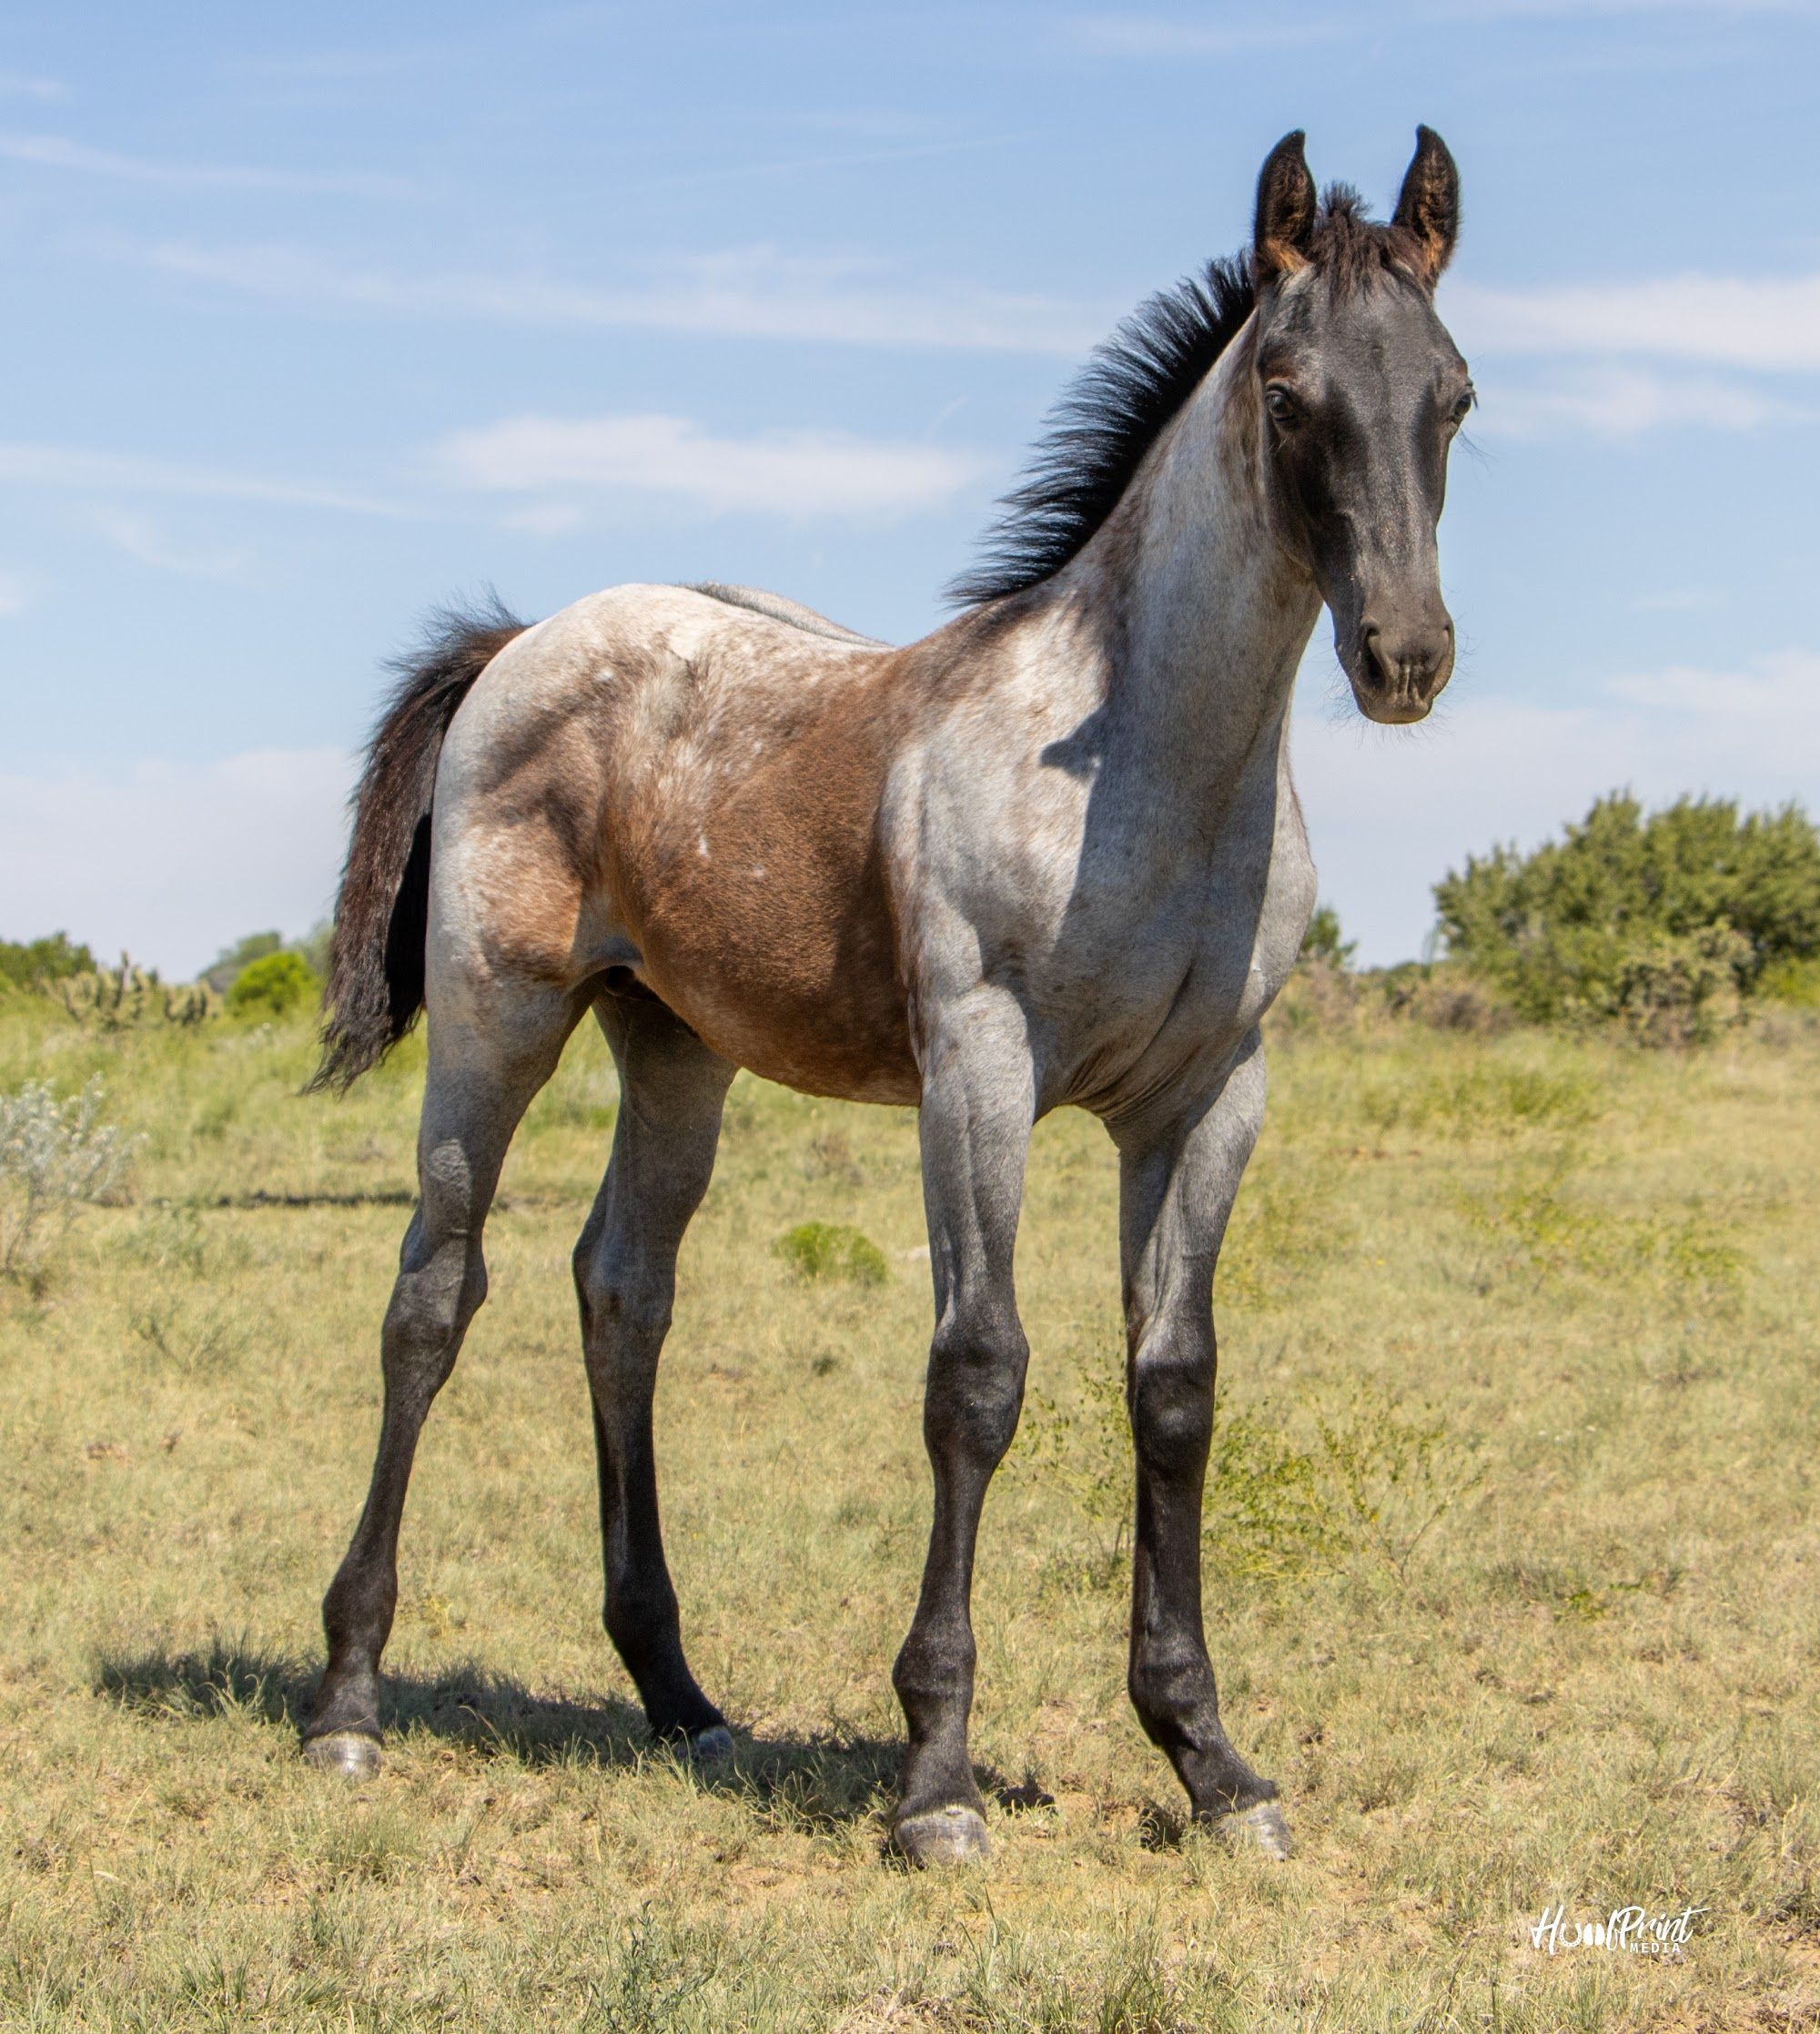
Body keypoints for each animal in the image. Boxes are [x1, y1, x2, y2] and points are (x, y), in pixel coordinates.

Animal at [301, 127, 1471, 1867]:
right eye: (1285, 391)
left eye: (1453, 393)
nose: (1406, 655)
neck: (1141, 765)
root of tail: (527, 638)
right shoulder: (978, 1067)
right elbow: (977, 1374)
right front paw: (936, 1780)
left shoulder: (1208, 1097)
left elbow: (1176, 1388)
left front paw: (1210, 1760)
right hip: (497, 1019)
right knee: (433, 1297)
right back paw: (349, 1700)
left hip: (677, 1054)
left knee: (621, 1292)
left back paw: (680, 1695)